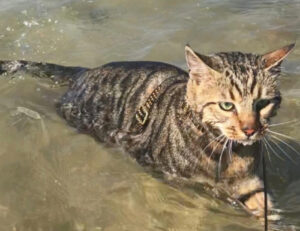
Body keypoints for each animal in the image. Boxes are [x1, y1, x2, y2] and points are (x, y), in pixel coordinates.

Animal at [0, 43, 296, 229]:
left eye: (262, 103)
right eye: (226, 105)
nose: (250, 130)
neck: (224, 152)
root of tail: (85, 71)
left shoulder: (250, 183)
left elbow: (265, 207)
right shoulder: (173, 177)